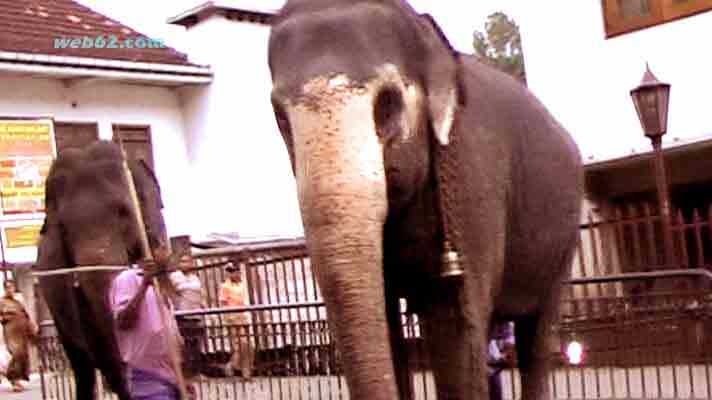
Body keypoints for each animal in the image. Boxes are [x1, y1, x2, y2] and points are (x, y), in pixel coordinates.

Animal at [268, 1, 584, 398]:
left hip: (565, 240)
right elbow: (386, 320)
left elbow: (450, 324)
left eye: (388, 103)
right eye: (280, 115)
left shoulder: (473, 178)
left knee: (536, 341)